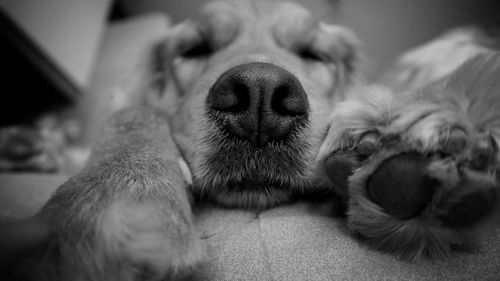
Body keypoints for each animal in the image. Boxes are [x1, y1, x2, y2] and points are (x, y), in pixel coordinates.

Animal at [16, 0, 500, 280]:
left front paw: (408, 130)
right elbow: (133, 110)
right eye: (195, 49)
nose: (260, 96)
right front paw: (111, 206)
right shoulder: (138, 110)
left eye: (314, 53)